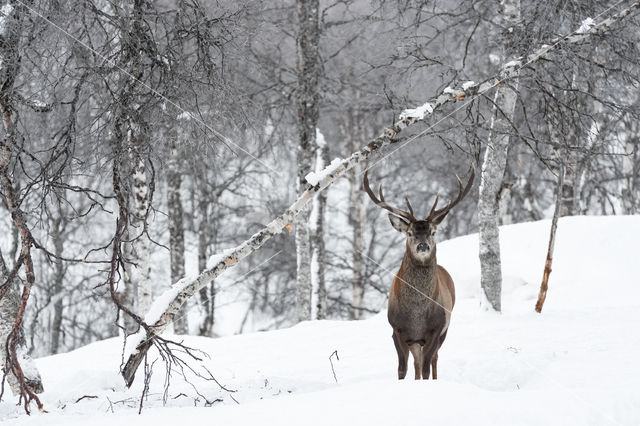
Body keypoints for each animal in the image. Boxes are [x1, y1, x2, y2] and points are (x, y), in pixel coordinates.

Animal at [360, 166, 476, 380]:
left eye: (433, 232)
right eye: (410, 233)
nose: (423, 246)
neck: (416, 317)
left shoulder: (436, 328)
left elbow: (426, 368)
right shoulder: (396, 329)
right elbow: (402, 369)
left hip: (444, 329)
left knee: (432, 360)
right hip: (415, 341)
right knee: (416, 362)